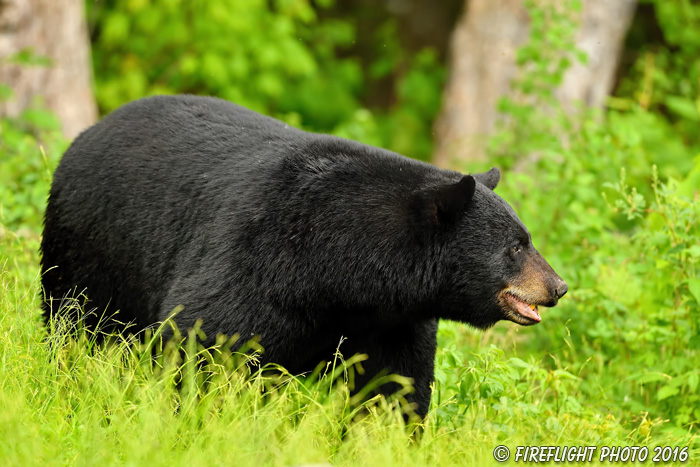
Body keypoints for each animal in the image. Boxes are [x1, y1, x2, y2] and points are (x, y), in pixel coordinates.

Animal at [39, 94, 568, 416]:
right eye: (516, 246)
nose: (558, 286)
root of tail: (91, 130)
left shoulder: (392, 319)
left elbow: (392, 385)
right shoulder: (257, 258)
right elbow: (202, 340)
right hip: (92, 250)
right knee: (77, 324)